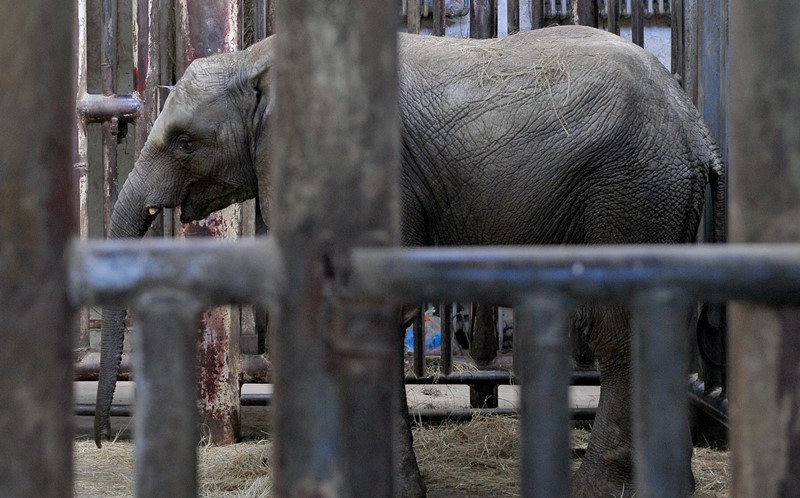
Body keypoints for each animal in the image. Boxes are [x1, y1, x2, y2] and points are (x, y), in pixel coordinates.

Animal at [94, 27, 724, 498]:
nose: (100, 440)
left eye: (183, 141)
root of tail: (697, 130)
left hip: (631, 193)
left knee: (620, 328)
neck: (256, 63)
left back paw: (605, 490)